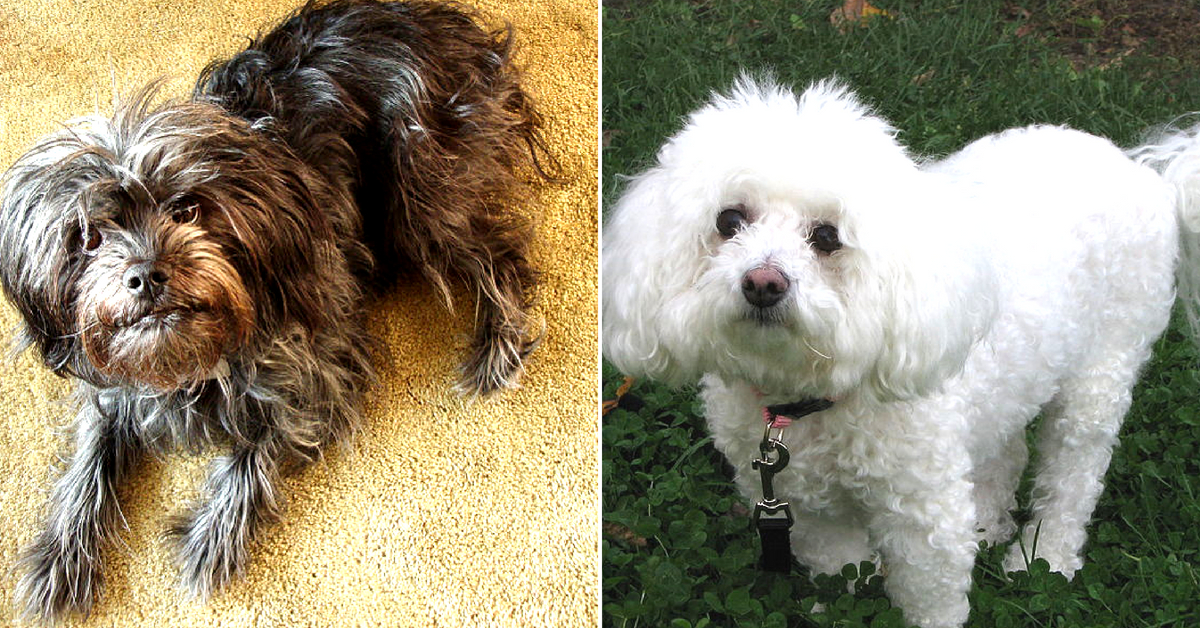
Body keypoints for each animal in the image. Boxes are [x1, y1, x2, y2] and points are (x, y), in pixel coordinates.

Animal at [604, 77, 1200, 628]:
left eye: (827, 237)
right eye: (729, 221)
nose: (762, 283)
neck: (809, 395)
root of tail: (1144, 170)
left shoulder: (924, 518)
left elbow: (930, 599)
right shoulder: (811, 511)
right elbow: (843, 572)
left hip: (1100, 376)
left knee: (1073, 477)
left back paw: (1043, 558)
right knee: (1007, 450)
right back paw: (989, 523)